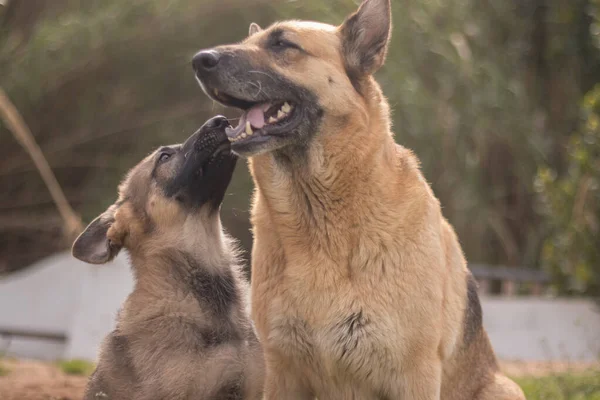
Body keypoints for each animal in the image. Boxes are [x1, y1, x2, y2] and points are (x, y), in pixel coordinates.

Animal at [193, 0, 524, 400]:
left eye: (282, 44)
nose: (198, 60)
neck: (321, 222)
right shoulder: (282, 372)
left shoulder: (414, 375)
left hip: (502, 389)